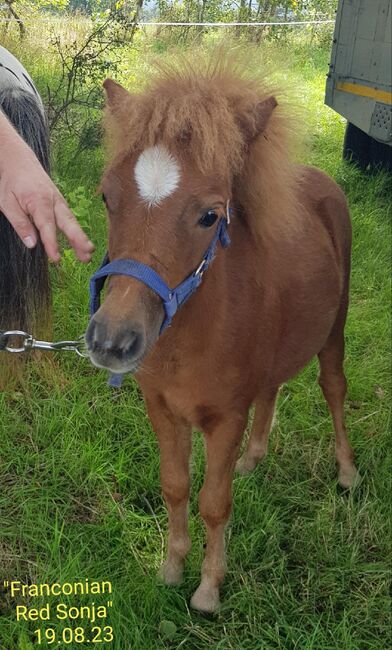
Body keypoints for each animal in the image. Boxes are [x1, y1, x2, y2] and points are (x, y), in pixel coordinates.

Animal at [86, 58, 358, 612]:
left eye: (210, 215)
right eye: (107, 196)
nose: (111, 341)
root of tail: (320, 178)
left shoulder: (225, 418)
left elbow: (214, 502)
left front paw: (209, 589)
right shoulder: (163, 410)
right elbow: (174, 485)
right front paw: (171, 568)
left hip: (333, 332)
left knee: (334, 388)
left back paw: (347, 472)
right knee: (272, 388)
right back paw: (254, 459)